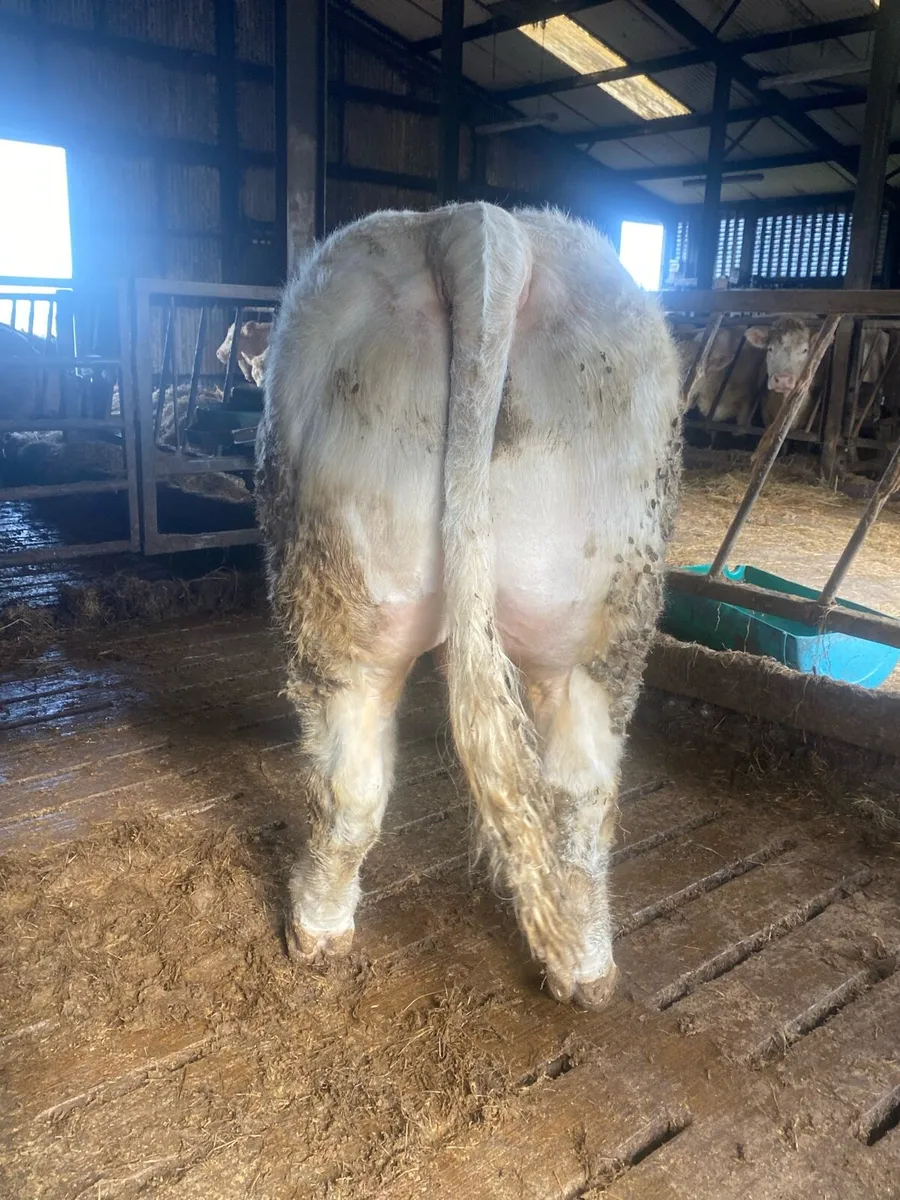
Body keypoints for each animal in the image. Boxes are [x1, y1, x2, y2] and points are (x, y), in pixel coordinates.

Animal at [256, 202, 682, 1009]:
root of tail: (478, 227)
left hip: (345, 591)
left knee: (349, 780)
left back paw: (313, 930)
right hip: (593, 610)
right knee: (580, 792)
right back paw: (585, 970)